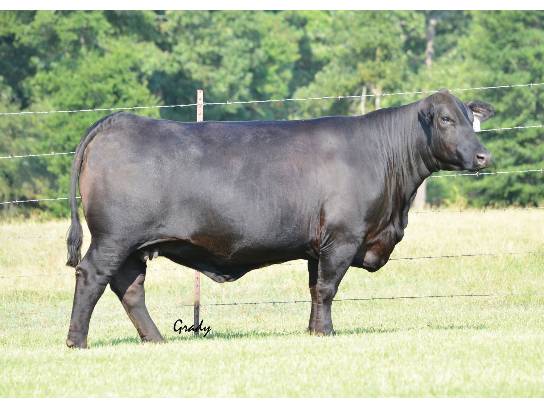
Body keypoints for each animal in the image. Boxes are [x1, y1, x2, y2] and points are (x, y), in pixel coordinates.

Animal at [64, 90, 494, 348]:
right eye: (445, 120)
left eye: (470, 119)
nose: (483, 156)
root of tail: (118, 121)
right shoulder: (342, 238)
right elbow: (328, 288)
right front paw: (326, 333)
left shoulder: (319, 247)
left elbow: (315, 288)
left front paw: (313, 330)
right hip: (115, 237)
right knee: (92, 276)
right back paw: (77, 340)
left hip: (133, 245)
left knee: (129, 287)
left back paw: (155, 339)